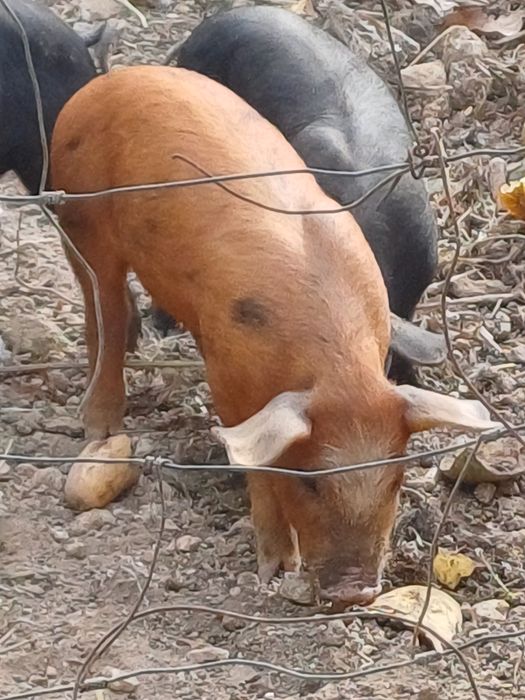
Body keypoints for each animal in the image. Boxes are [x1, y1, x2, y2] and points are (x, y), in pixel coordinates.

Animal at [51, 66, 497, 605]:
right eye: (309, 482)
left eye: (396, 479)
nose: (355, 592)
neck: (334, 369)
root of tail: (110, 80)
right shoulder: (226, 375)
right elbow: (258, 468)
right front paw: (276, 571)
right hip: (80, 215)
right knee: (104, 311)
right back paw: (100, 429)